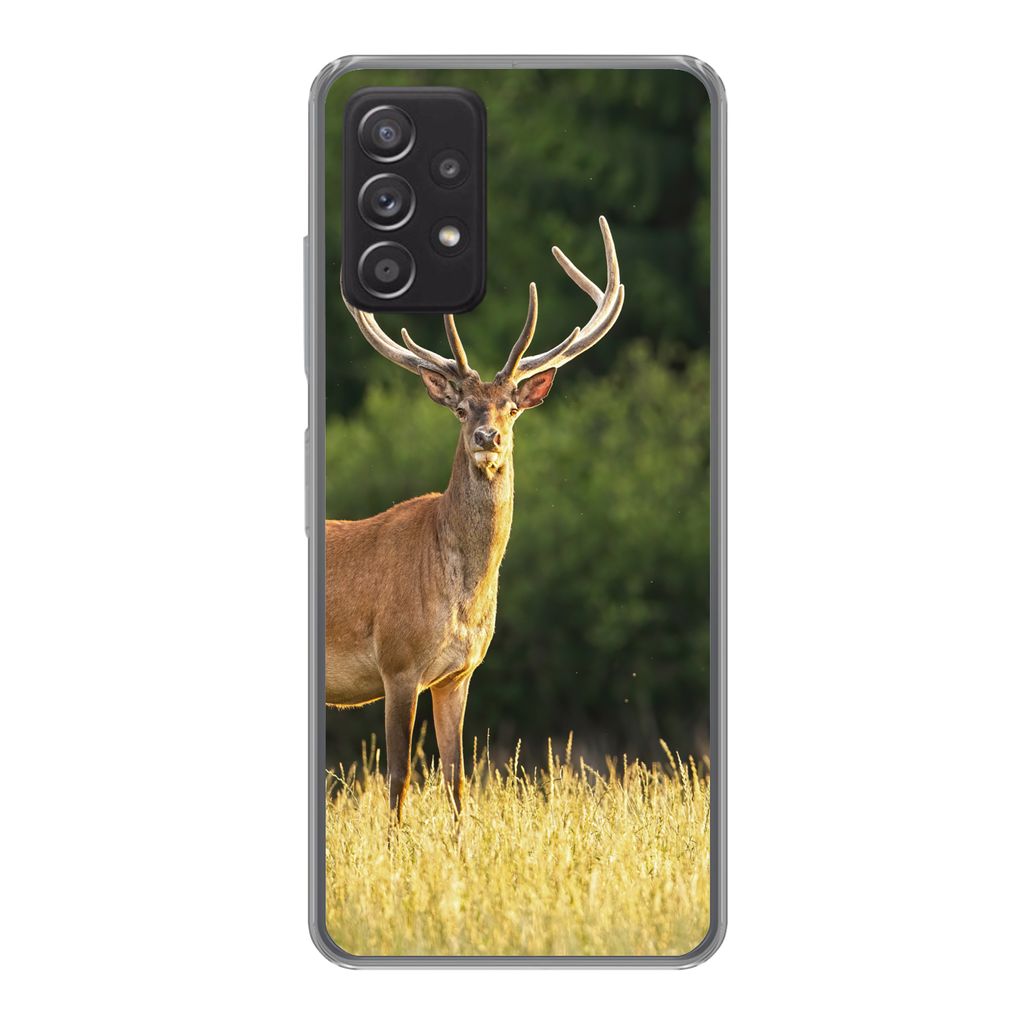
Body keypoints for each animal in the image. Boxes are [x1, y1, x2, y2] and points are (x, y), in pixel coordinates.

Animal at [326, 216, 624, 822]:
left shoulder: (458, 673)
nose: (488, 437)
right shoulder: (397, 662)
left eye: (511, 407)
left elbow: (457, 780)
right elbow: (398, 778)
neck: (460, 596)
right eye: (462, 408)